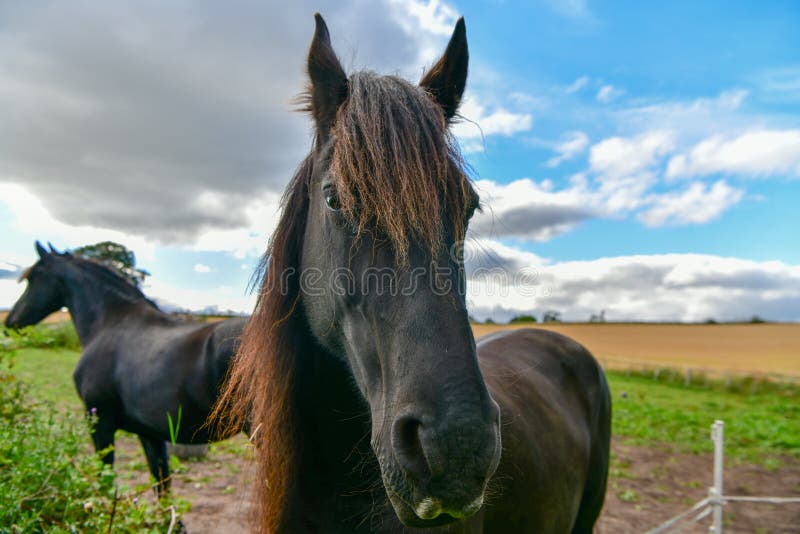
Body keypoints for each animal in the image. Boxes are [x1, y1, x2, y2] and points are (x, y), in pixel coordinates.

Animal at [4, 243, 245, 494]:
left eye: (34, 277)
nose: (10, 322)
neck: (109, 322)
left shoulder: (100, 424)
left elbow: (106, 482)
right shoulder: (149, 434)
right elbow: (162, 485)